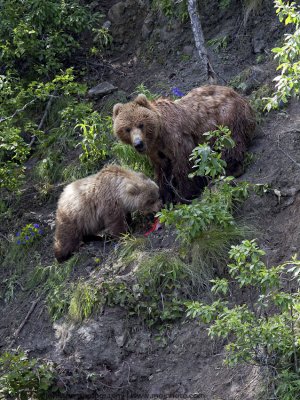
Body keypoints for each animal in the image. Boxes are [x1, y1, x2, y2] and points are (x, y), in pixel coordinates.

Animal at [112, 85, 255, 203]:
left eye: (141, 124)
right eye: (127, 129)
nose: (138, 143)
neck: (158, 136)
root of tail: (237, 94)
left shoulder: (176, 137)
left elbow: (184, 163)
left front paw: (184, 194)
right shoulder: (156, 151)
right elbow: (162, 170)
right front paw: (164, 195)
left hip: (226, 116)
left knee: (230, 142)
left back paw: (233, 168)